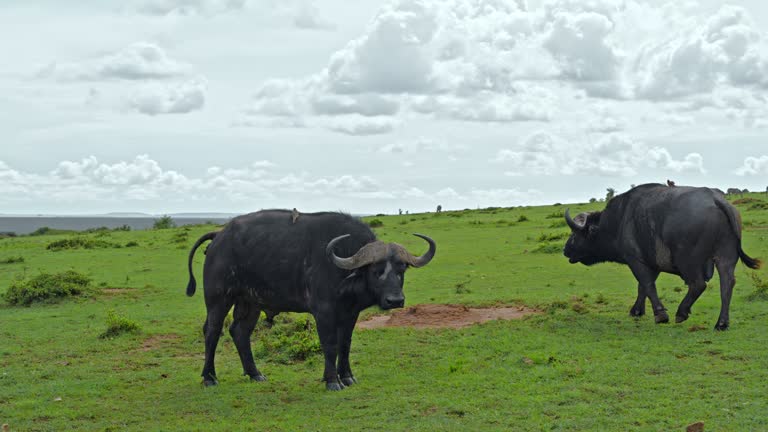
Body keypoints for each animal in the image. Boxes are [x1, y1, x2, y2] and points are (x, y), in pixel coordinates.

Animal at [184, 211, 436, 390]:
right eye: (376, 271)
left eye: (401, 270)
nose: (395, 300)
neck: (343, 265)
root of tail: (219, 236)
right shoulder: (323, 312)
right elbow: (330, 344)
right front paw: (332, 381)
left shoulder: (350, 313)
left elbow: (345, 344)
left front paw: (347, 377)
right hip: (218, 298)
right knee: (212, 331)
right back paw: (209, 377)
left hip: (250, 303)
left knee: (239, 331)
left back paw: (255, 374)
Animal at [564, 183, 760, 330]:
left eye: (574, 235)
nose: (565, 250)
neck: (619, 220)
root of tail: (716, 199)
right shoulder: (652, 263)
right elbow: (642, 287)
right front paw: (637, 311)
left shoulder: (636, 260)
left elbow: (647, 285)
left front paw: (660, 315)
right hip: (725, 257)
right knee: (727, 284)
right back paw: (721, 323)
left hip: (687, 260)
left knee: (698, 284)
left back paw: (681, 313)